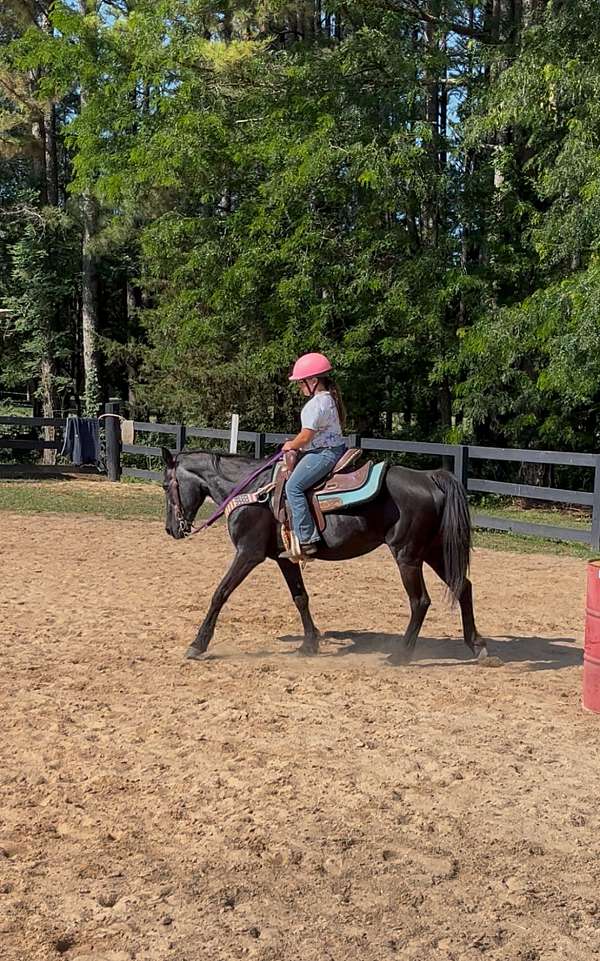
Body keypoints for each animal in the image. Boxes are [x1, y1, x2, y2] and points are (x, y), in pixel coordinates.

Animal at [161, 447, 487, 664]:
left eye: (166, 485)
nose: (171, 529)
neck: (255, 493)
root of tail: (429, 478)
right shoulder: (283, 558)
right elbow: (300, 598)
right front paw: (310, 643)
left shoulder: (248, 554)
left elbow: (220, 593)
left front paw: (198, 644)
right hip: (433, 551)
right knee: (463, 587)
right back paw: (478, 646)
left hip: (407, 556)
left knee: (420, 601)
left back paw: (401, 655)